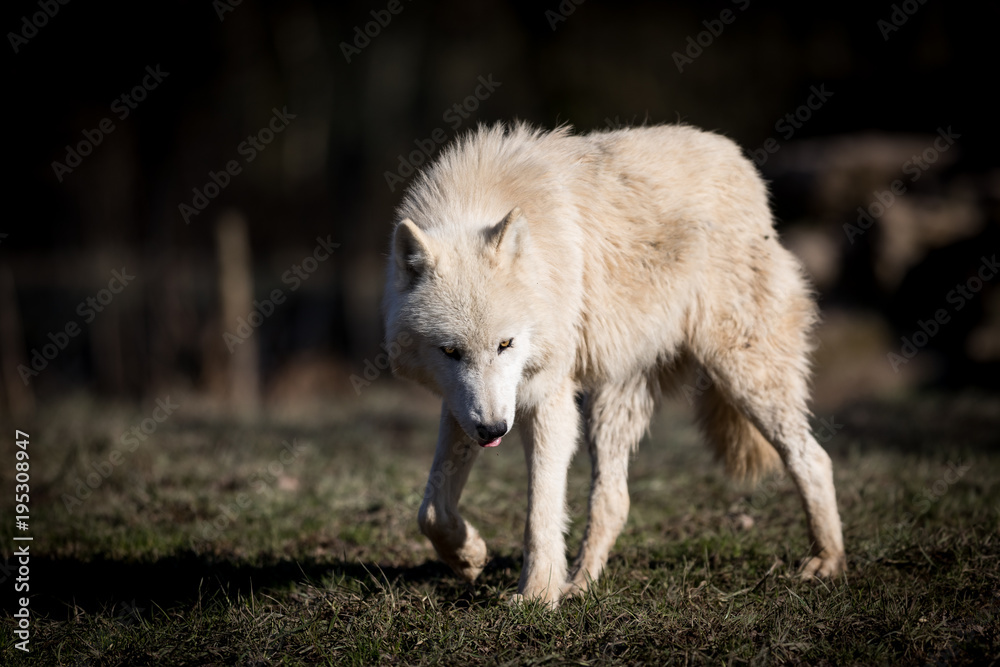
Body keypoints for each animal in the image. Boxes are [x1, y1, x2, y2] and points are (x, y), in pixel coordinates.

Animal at [383, 123, 845, 606]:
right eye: (450, 352)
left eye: (505, 344)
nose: (494, 431)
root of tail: (742, 164)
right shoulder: (465, 407)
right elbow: (431, 509)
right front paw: (470, 556)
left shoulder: (547, 399)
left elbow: (540, 512)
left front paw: (536, 595)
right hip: (612, 403)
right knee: (615, 500)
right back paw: (580, 584)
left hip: (743, 375)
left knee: (813, 458)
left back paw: (827, 560)